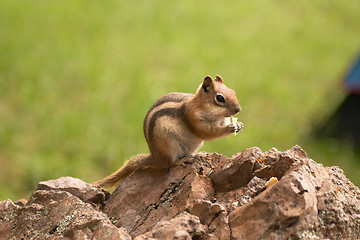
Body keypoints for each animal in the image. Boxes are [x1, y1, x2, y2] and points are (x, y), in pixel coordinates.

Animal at [94, 75, 243, 188]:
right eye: (220, 98)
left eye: (234, 92)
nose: (238, 109)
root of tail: (155, 157)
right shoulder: (193, 118)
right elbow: (207, 133)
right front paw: (229, 128)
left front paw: (238, 125)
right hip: (169, 145)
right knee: (169, 165)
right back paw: (182, 160)